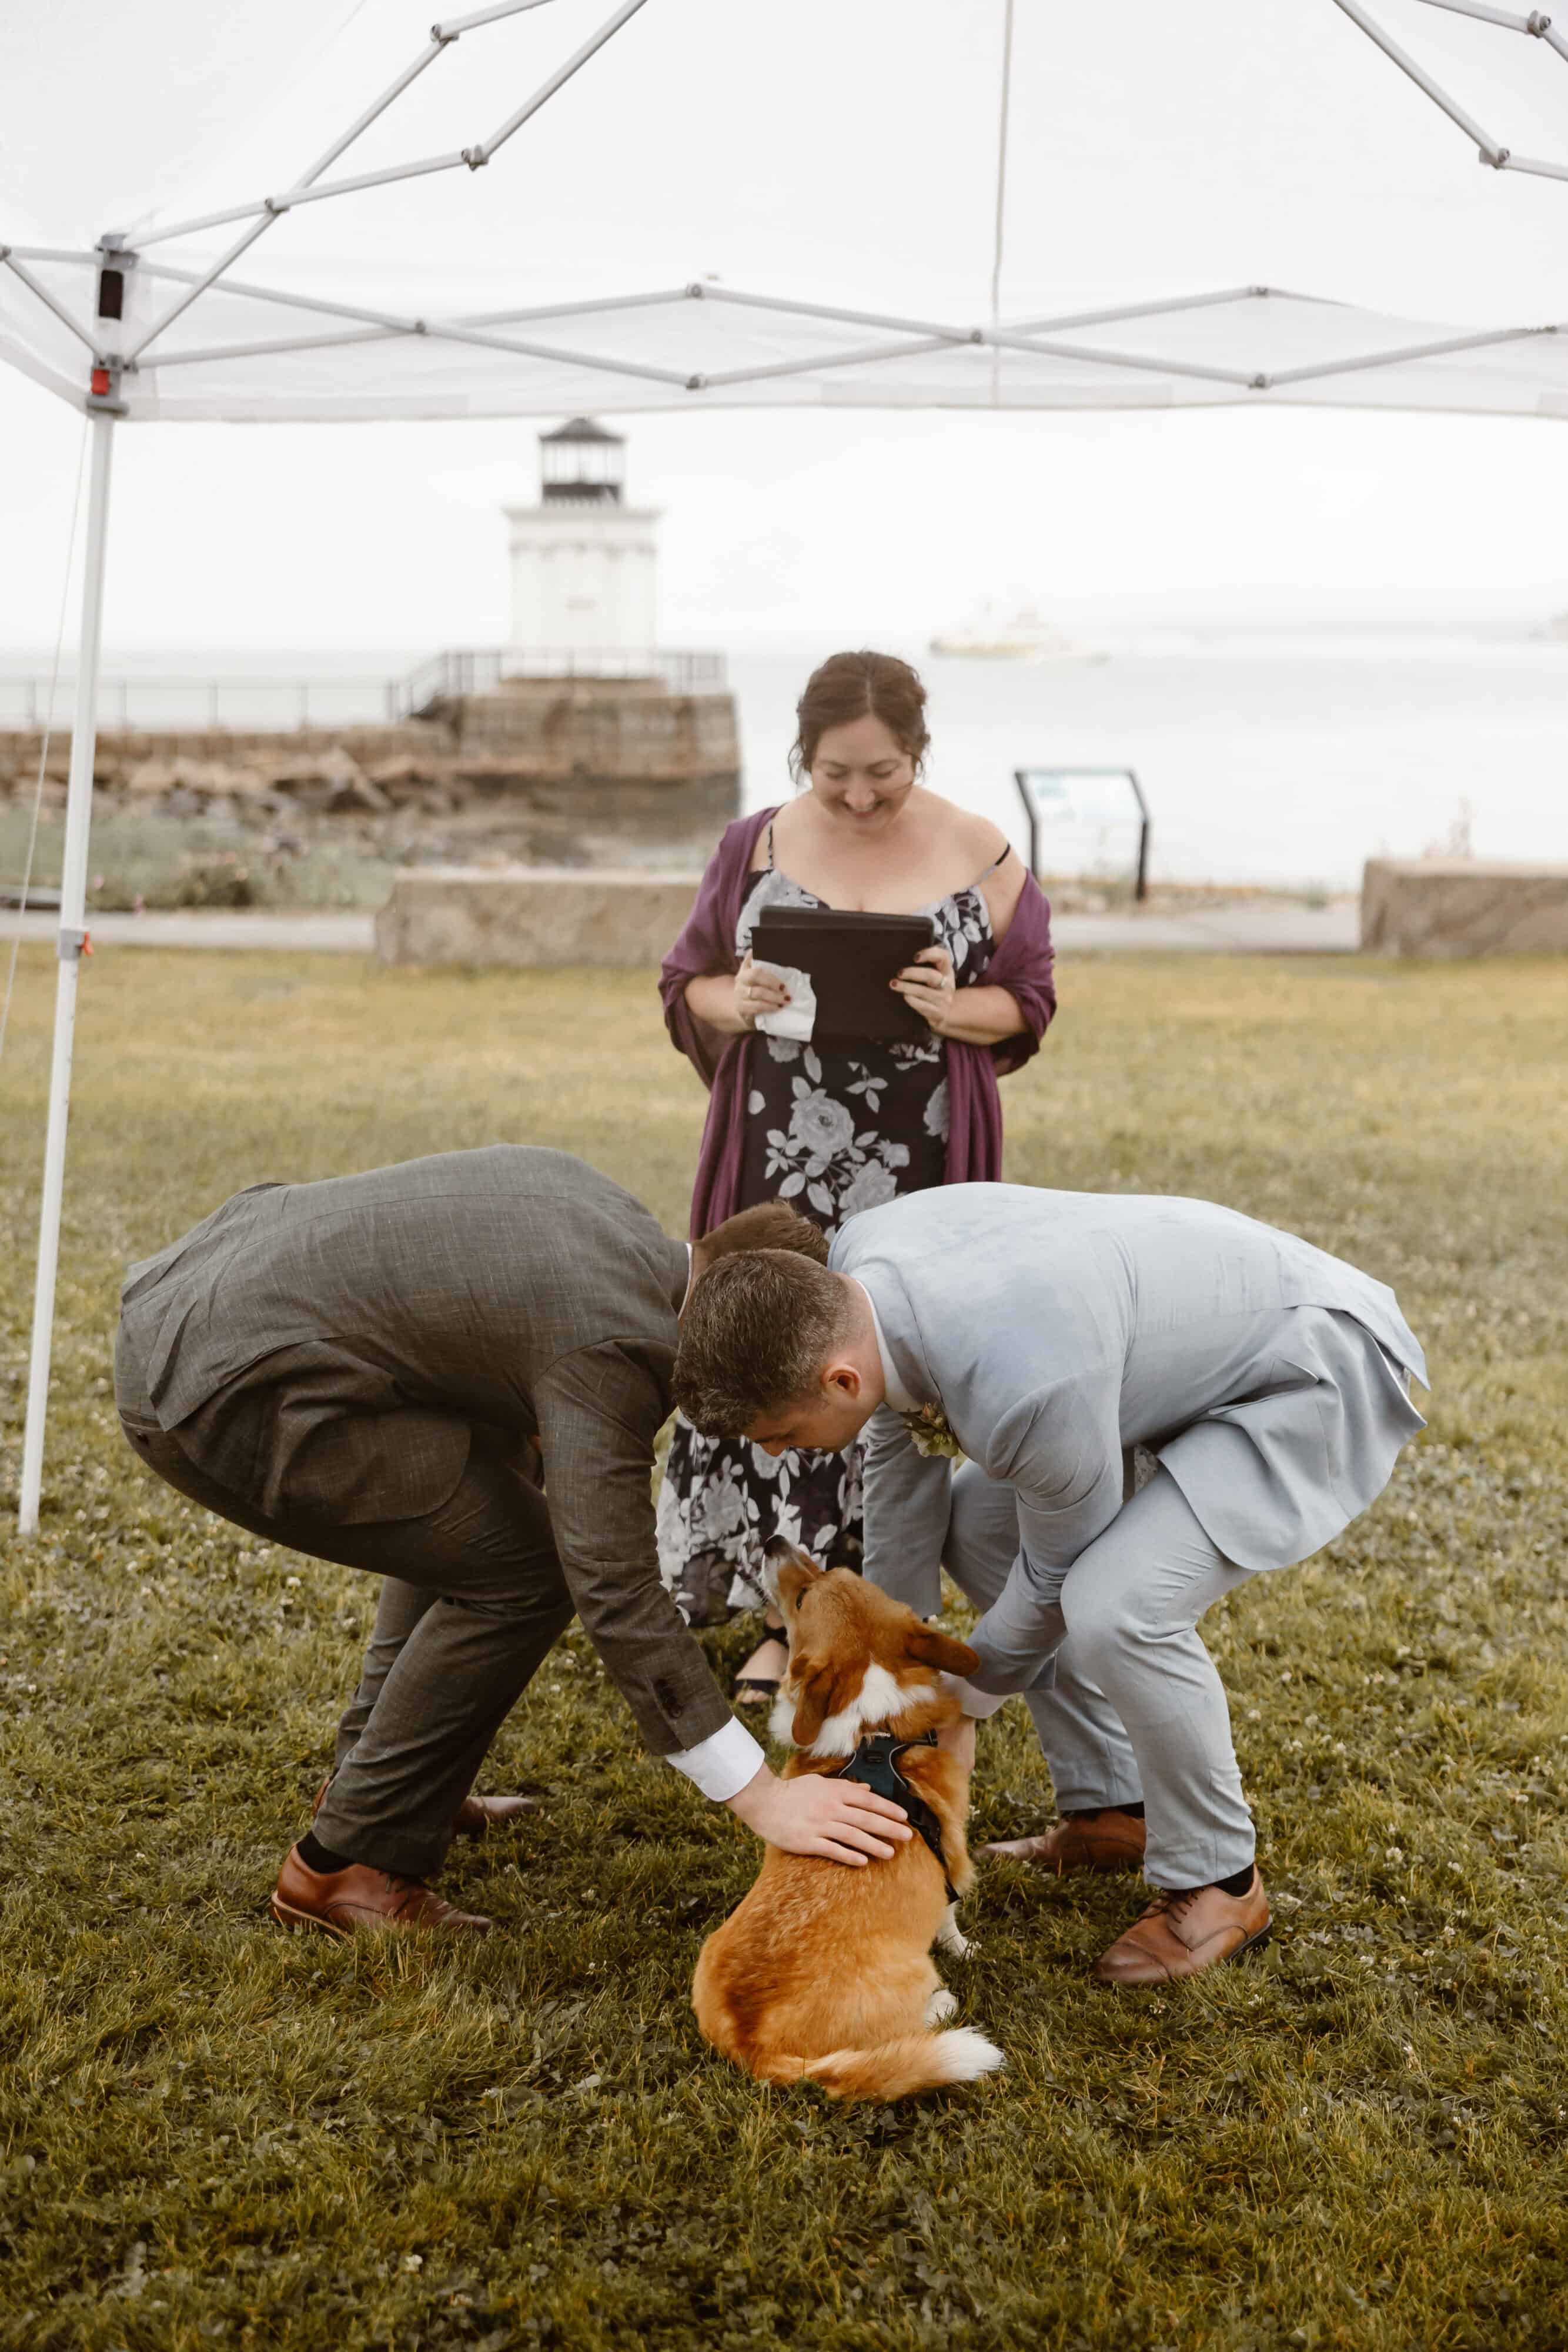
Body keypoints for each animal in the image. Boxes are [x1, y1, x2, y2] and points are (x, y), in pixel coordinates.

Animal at [691, 1552, 1006, 2107]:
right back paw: (941, 2005)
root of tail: (755, 2049)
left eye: (835, 1571)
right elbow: (949, 1918)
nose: (773, 1541)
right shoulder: (951, 1859)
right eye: (800, 1598)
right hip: (915, 1973)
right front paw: (967, 1948)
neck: (873, 1732)